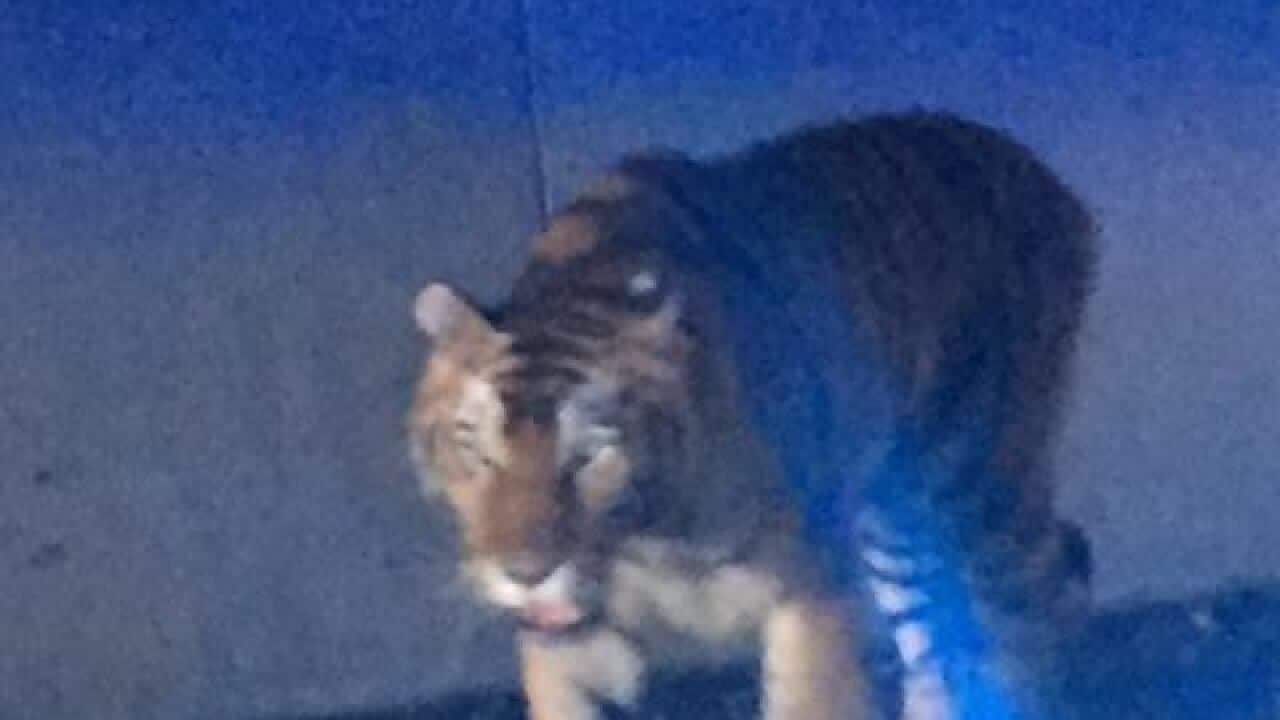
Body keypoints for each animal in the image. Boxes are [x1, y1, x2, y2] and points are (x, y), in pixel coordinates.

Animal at [406, 110, 1098, 720]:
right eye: (477, 450)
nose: (525, 573)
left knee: (1031, 614)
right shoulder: (567, 643)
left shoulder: (813, 586)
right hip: (899, 528)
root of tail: (1047, 178)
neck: (655, 541)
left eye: (590, 455)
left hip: (983, 493)